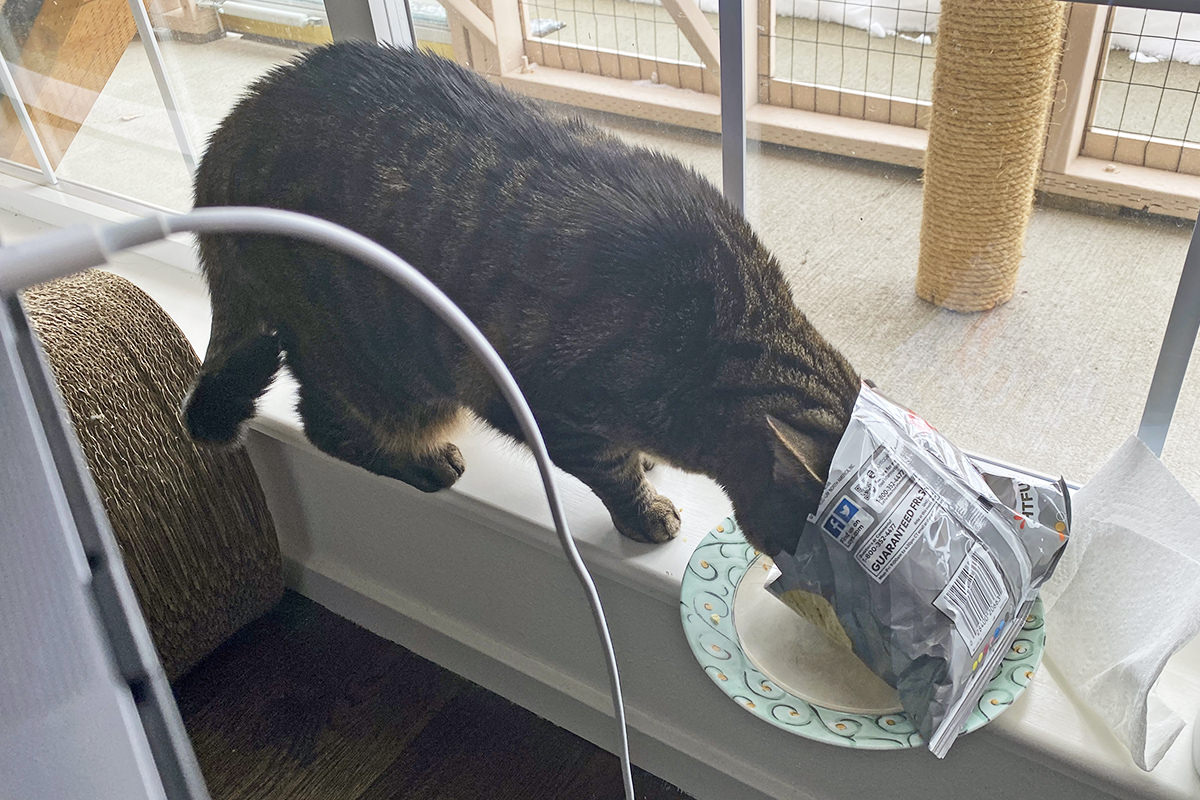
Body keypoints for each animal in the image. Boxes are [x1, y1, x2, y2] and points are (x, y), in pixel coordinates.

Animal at [182, 42, 864, 556]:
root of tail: (224, 141)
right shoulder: (538, 406)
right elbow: (613, 474)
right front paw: (645, 510)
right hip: (378, 368)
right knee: (325, 423)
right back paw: (418, 461)